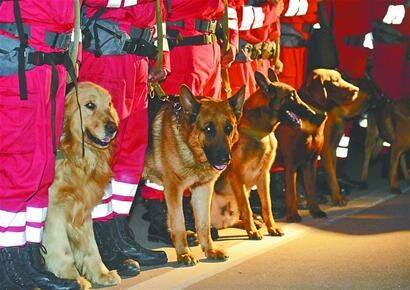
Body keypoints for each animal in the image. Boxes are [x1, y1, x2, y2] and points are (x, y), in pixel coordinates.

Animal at [42, 82, 125, 290]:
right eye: (89, 105)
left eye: (109, 104)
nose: (113, 127)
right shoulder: (53, 211)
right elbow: (62, 250)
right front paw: (72, 278)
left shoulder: (83, 210)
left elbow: (91, 248)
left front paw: (101, 274)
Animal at [276, 68, 362, 222]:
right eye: (335, 81)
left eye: (341, 77)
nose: (356, 89)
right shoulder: (291, 163)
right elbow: (291, 193)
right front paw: (293, 215)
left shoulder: (310, 161)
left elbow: (311, 189)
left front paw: (316, 211)